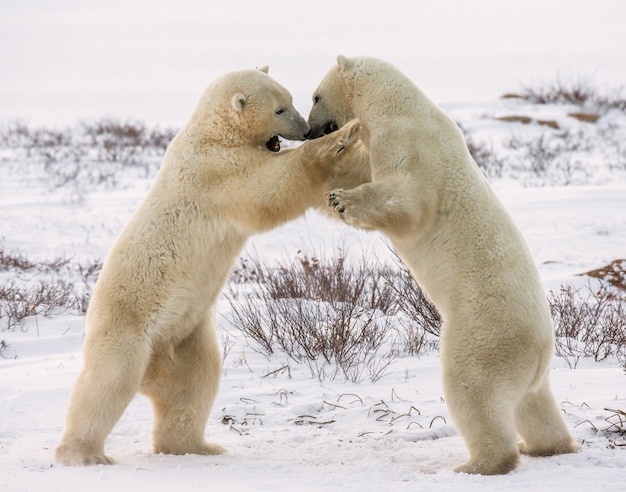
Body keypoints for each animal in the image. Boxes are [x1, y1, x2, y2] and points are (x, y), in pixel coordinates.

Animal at [56, 66, 366, 466]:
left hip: (187, 335)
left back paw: (195, 445)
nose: (306, 130)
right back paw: (84, 454)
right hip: (128, 326)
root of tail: (154, 364)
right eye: (280, 109)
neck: (211, 133)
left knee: (195, 382)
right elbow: (269, 190)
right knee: (108, 382)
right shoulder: (216, 170)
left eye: (290, 100)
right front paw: (338, 141)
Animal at [308, 55, 576, 474]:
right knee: (534, 404)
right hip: (534, 372)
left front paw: (341, 199)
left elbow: (404, 200)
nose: (307, 131)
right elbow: (361, 171)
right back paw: (546, 445)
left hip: (483, 334)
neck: (398, 107)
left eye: (316, 96)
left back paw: (477, 464)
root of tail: (542, 350)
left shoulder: (411, 147)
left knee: (472, 388)